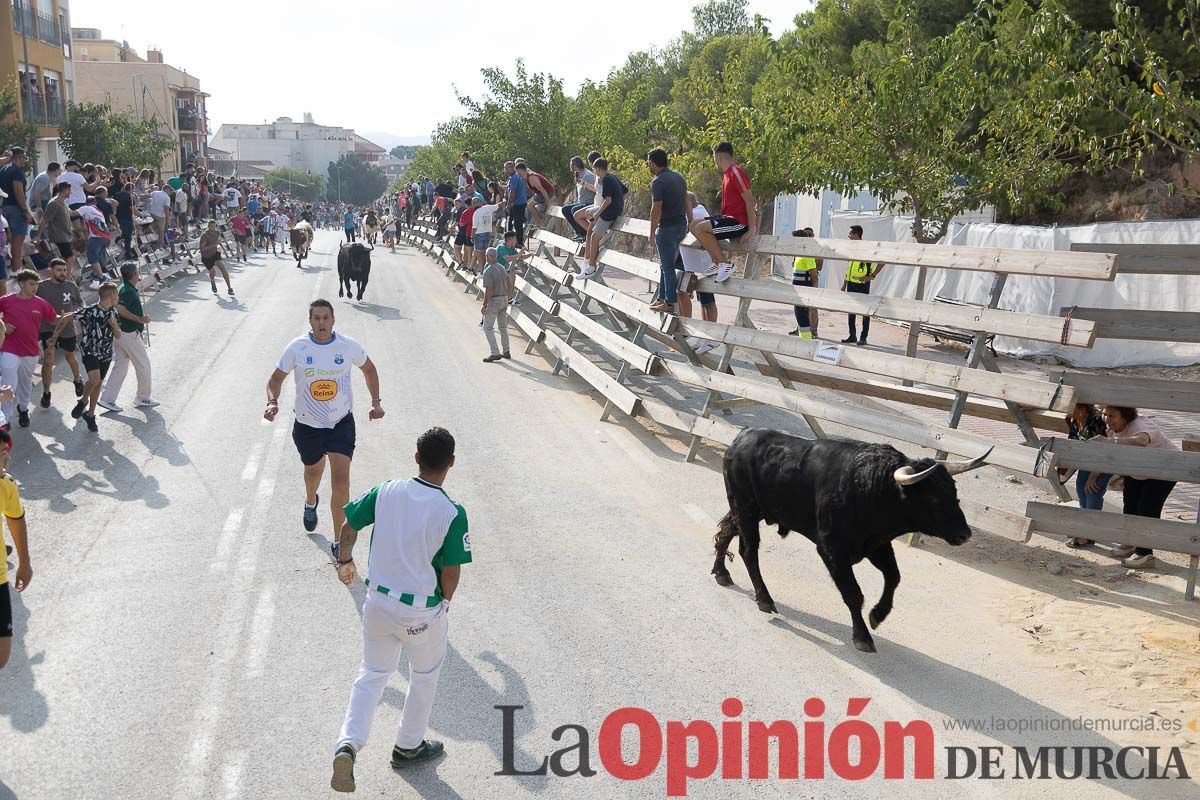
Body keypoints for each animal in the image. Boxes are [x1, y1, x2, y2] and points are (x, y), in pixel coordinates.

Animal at [715, 429, 988, 652]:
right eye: (932, 497)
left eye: (953, 491)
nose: (965, 533)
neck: (870, 485)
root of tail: (740, 439)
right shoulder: (832, 550)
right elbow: (853, 593)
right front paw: (863, 637)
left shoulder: (877, 545)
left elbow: (894, 576)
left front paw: (878, 615)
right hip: (747, 510)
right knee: (749, 550)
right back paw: (764, 599)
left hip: (749, 510)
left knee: (725, 531)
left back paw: (721, 573)